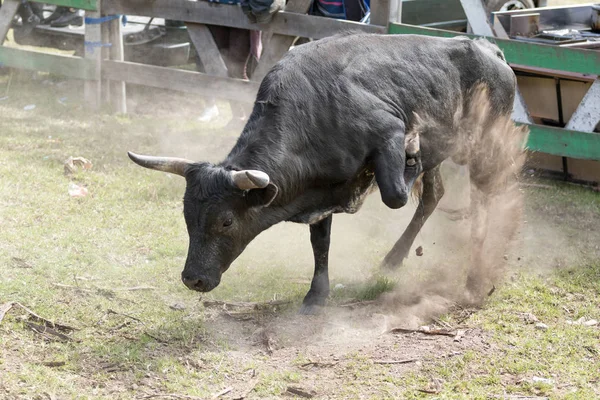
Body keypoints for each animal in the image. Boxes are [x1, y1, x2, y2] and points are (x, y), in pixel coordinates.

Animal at [129, 33, 516, 312]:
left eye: (226, 221)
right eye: (187, 216)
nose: (192, 279)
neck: (316, 109)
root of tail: (489, 49)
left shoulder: (388, 134)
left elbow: (394, 195)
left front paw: (411, 156)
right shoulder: (322, 189)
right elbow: (321, 243)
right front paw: (316, 296)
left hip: (485, 145)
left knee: (483, 196)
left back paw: (477, 271)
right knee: (434, 196)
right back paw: (394, 259)